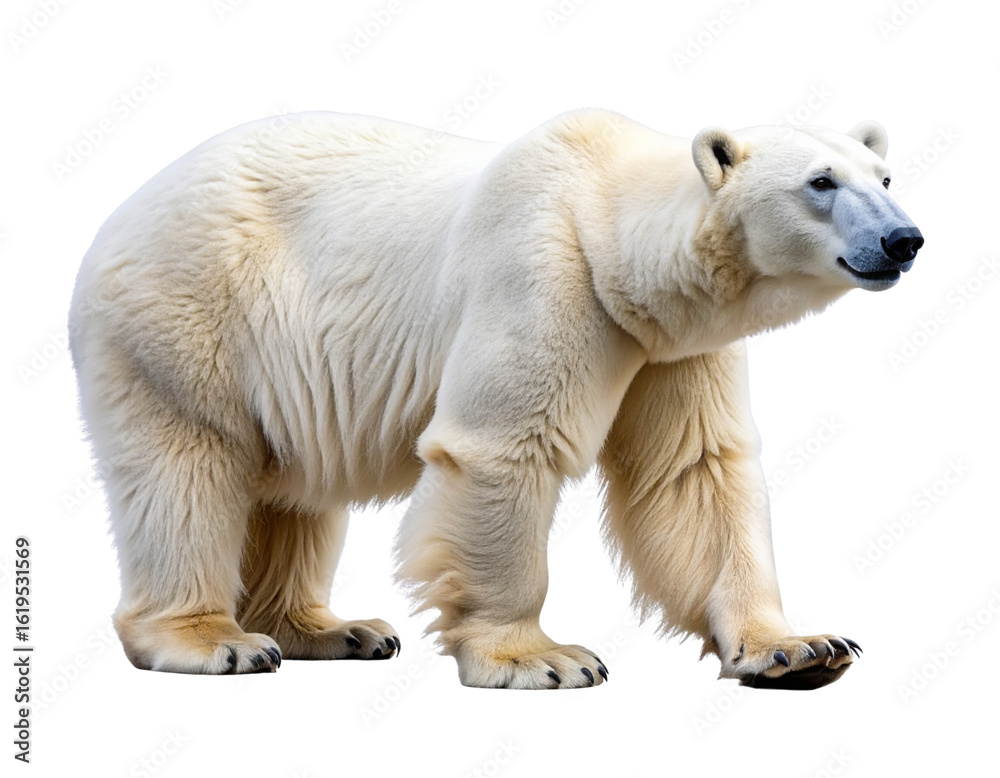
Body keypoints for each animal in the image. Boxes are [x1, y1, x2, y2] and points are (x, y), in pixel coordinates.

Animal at [69, 109, 923, 689]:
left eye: (884, 178)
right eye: (820, 183)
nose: (905, 239)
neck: (602, 218)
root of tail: (116, 216)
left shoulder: (669, 346)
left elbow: (694, 471)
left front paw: (800, 647)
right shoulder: (543, 273)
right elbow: (506, 447)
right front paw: (542, 658)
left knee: (295, 489)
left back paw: (337, 629)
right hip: (188, 316)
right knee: (190, 466)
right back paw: (218, 640)